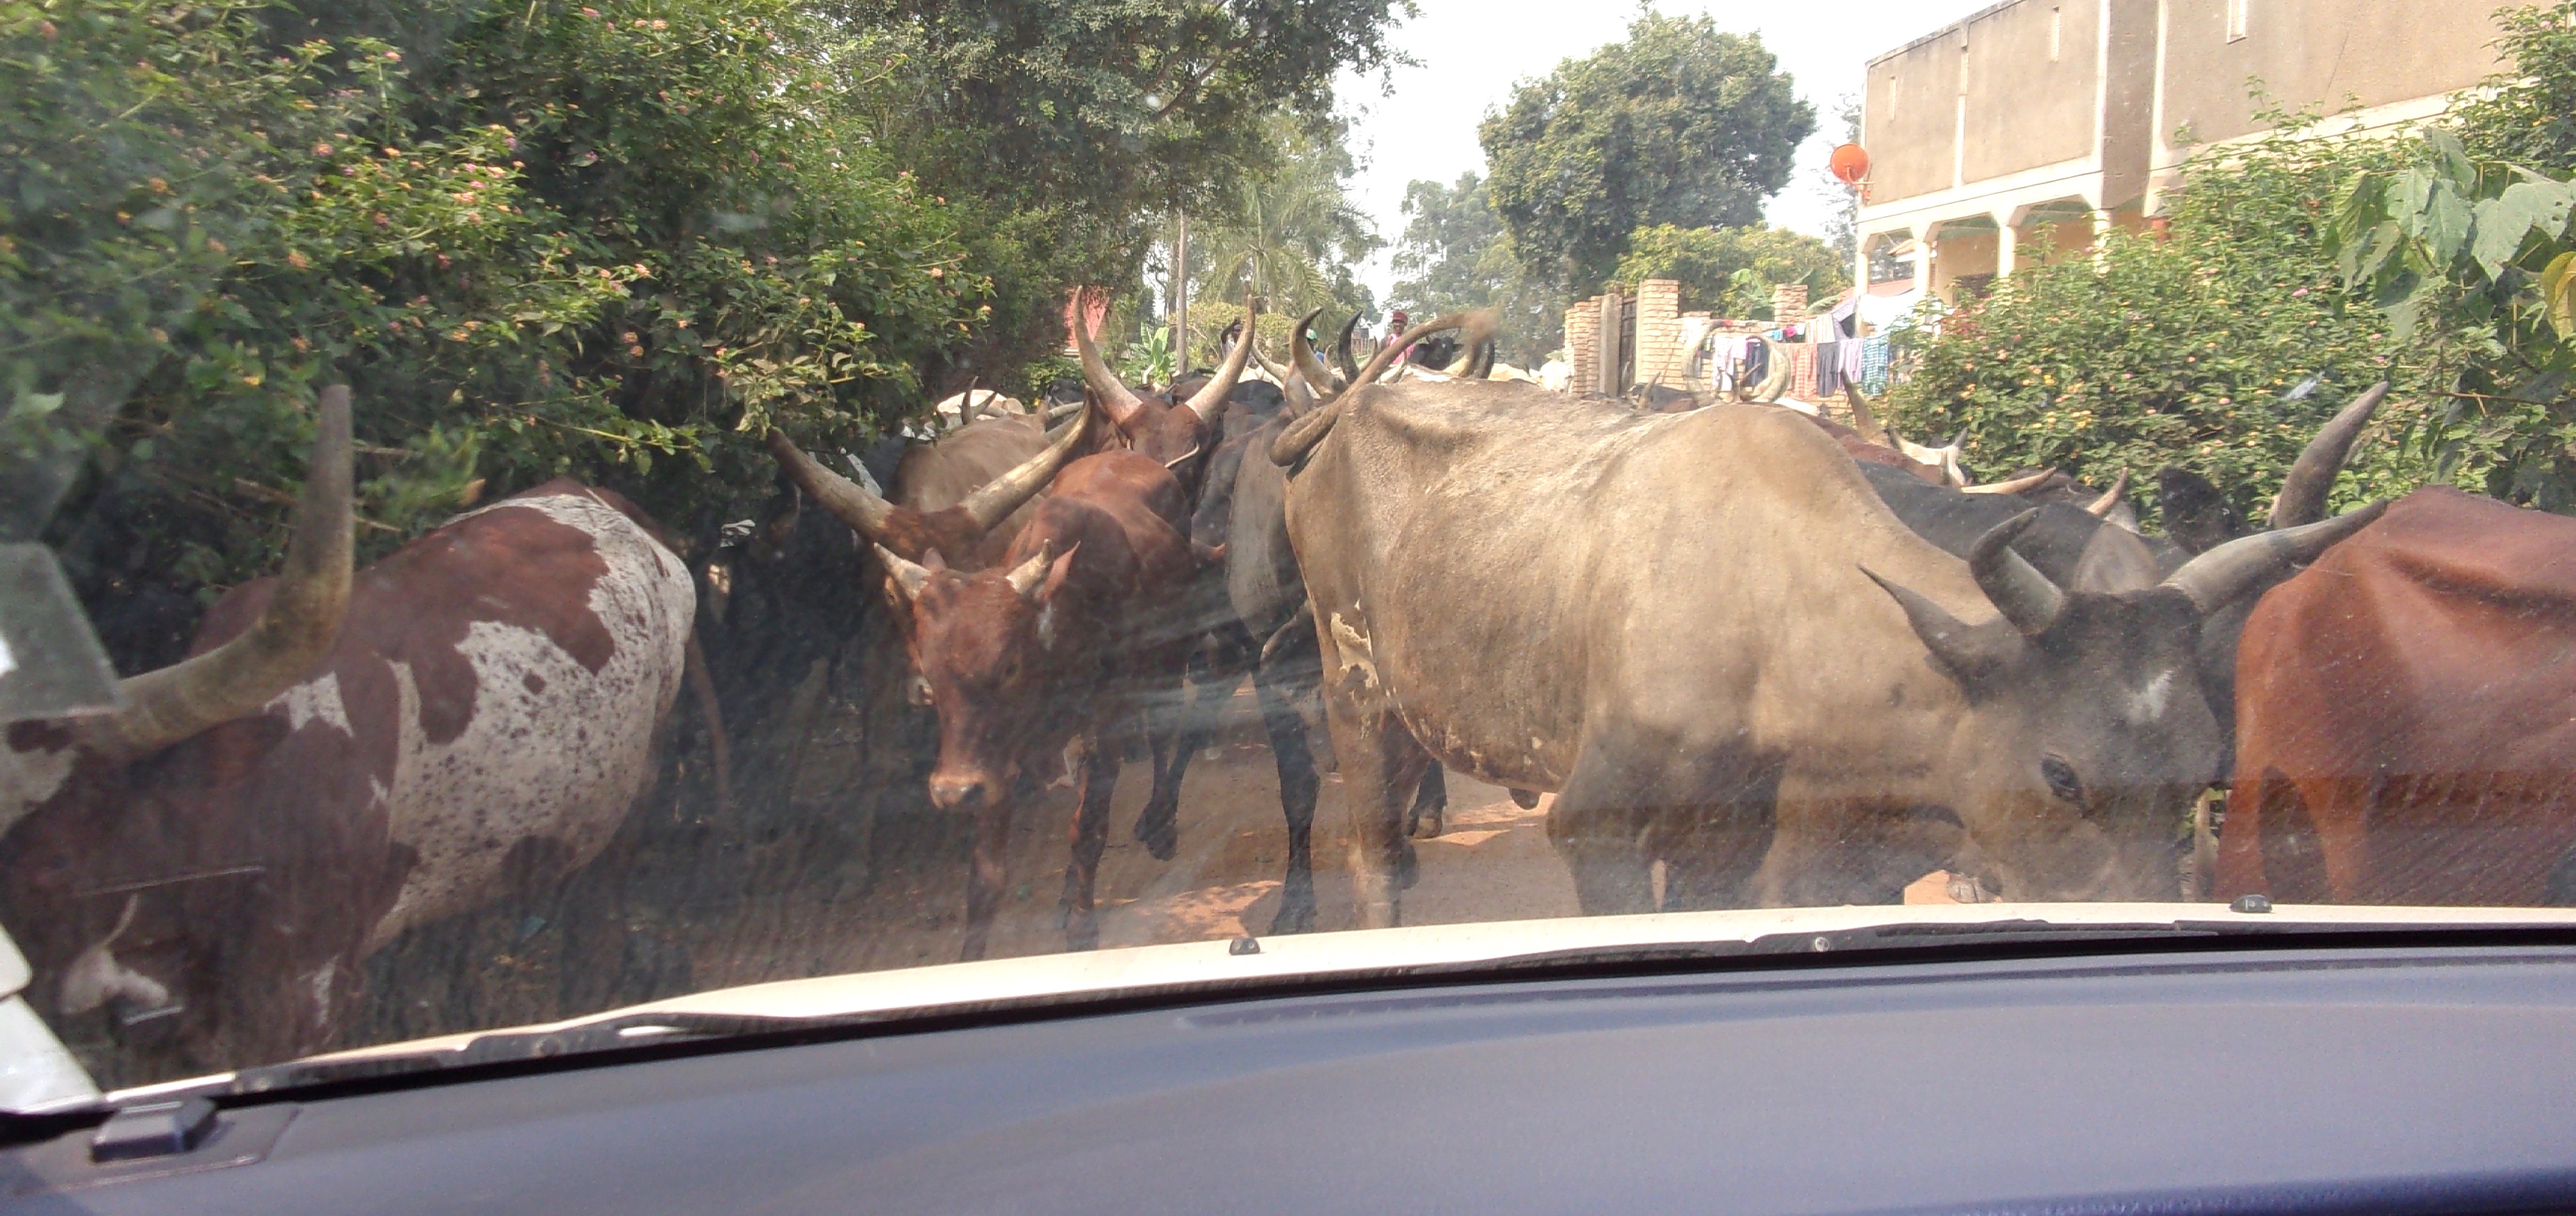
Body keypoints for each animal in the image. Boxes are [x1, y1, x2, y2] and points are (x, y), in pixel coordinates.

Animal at [1267, 323, 2369, 922]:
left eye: (2203, 762)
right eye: (2061, 774)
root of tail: (1338, 415)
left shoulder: (1752, 852)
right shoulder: (1599, 825)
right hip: (1352, 686)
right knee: (1370, 850)